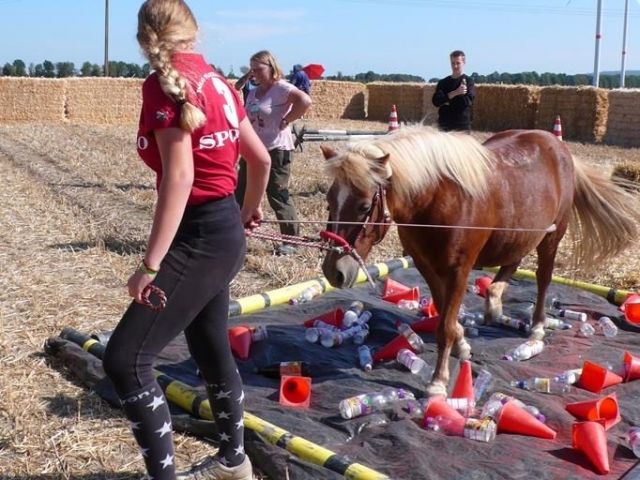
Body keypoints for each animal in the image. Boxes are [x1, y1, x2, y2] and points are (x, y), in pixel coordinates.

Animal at [319, 125, 640, 398]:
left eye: (364, 206)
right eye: (329, 201)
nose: (334, 272)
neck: (439, 200)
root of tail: (557, 144)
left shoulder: (459, 271)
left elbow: (445, 326)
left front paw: (438, 381)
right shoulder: (427, 267)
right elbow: (445, 315)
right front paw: (462, 344)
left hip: (552, 237)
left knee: (543, 277)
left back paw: (536, 325)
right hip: (519, 232)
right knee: (512, 262)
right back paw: (494, 299)